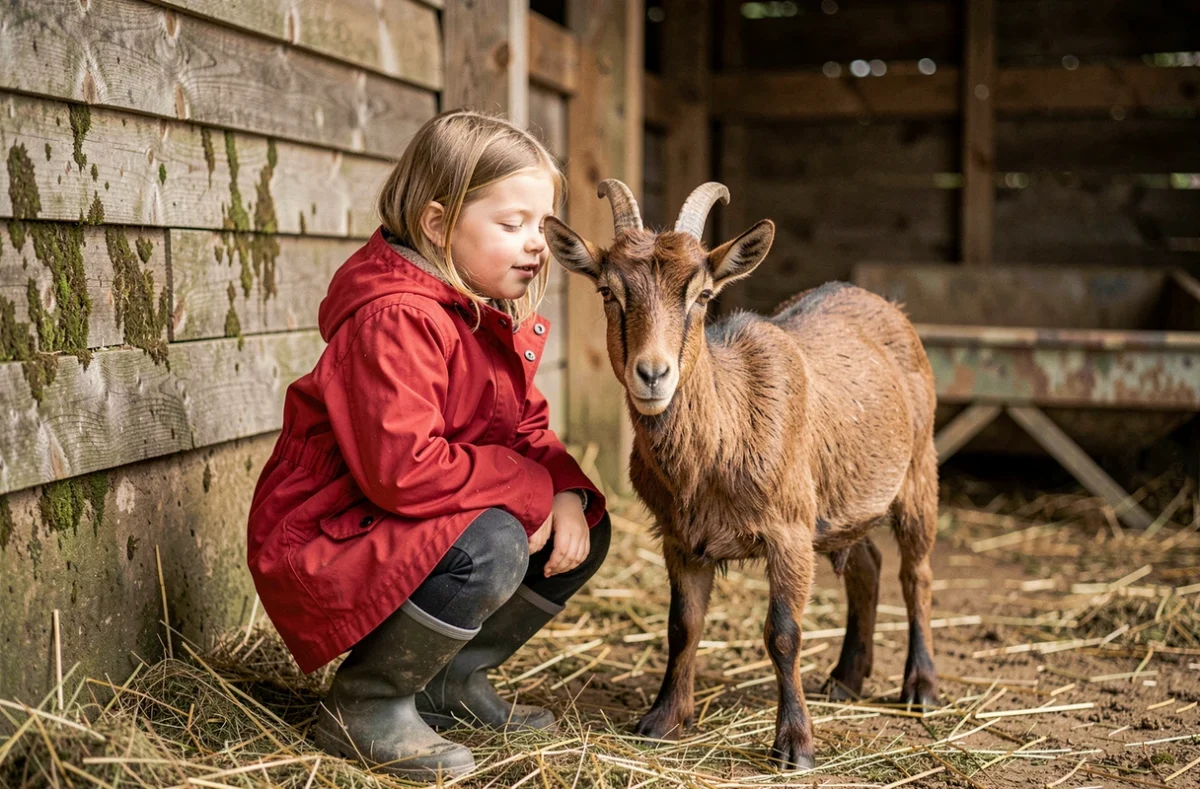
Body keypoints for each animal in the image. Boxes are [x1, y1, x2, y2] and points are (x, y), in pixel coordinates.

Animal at [544, 181, 939, 770]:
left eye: (703, 295)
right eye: (609, 292)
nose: (653, 374)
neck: (721, 441)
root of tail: (883, 304)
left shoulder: (790, 530)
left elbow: (784, 634)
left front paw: (795, 745)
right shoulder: (681, 538)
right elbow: (682, 626)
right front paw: (663, 720)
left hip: (918, 469)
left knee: (916, 574)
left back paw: (922, 687)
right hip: (844, 501)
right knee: (867, 563)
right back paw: (846, 679)